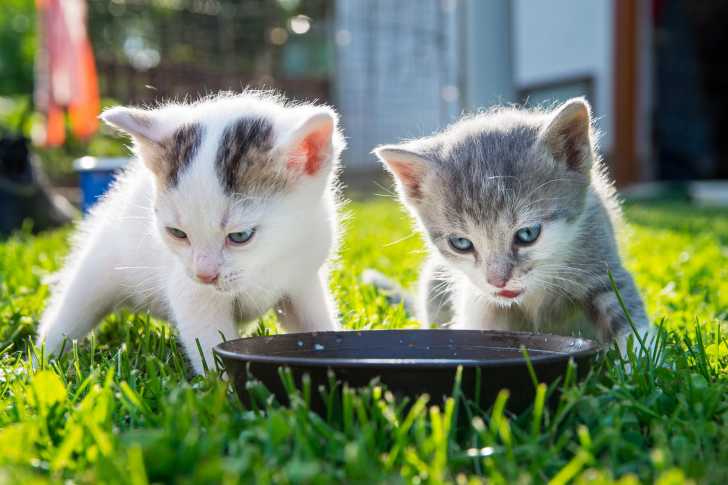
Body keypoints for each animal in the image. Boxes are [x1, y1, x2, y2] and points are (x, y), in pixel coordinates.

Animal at [37, 91, 346, 372]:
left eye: (240, 236)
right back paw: (39, 362)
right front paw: (221, 389)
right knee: (70, 311)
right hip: (99, 266)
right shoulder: (191, 292)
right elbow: (209, 344)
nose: (204, 275)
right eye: (177, 233)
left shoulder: (303, 277)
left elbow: (316, 322)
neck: (269, 260)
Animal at [376, 96, 648, 342]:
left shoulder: (602, 261)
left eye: (527, 234)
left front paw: (642, 358)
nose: (498, 281)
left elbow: (628, 318)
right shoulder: (480, 302)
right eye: (461, 244)